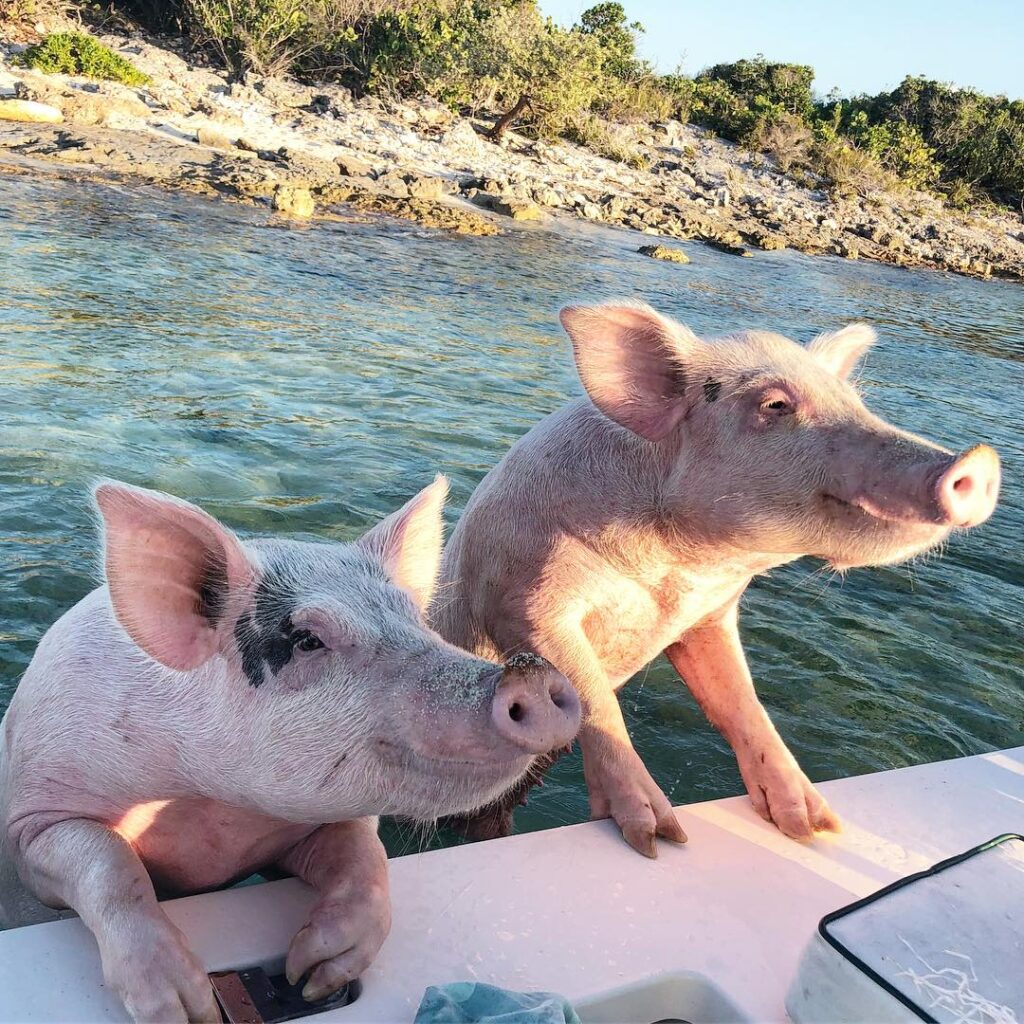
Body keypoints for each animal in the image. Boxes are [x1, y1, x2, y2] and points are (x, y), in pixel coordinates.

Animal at [0, 475, 577, 1019]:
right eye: (307, 640)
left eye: (416, 621)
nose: (531, 674)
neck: (214, 818)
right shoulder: (33, 820)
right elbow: (111, 865)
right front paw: (189, 1008)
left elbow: (366, 858)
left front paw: (311, 974)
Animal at [438, 301, 999, 856]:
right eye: (775, 404)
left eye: (856, 402)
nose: (980, 461)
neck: (671, 575)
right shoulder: (522, 597)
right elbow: (594, 698)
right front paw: (660, 838)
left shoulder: (706, 616)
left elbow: (741, 703)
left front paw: (814, 827)